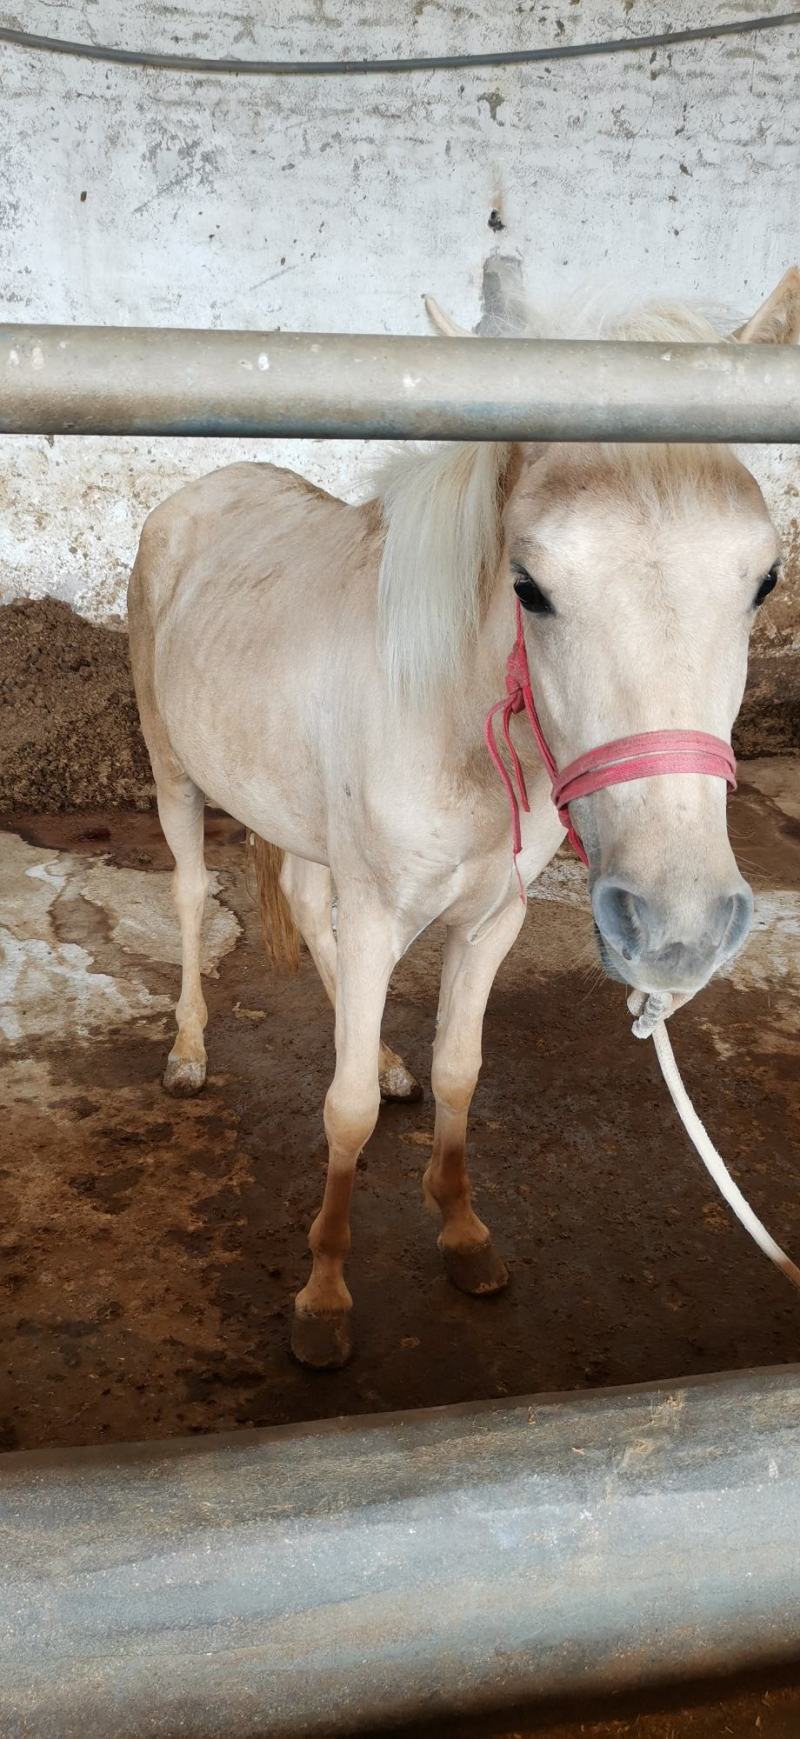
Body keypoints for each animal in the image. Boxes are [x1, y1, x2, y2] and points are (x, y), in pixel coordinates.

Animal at [128, 268, 800, 1368]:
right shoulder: (376, 914)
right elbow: (344, 1111)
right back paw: (187, 1053)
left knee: (305, 905)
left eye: (762, 580)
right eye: (530, 586)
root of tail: (199, 493)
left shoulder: (492, 918)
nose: (677, 928)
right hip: (174, 771)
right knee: (189, 894)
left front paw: (461, 1229)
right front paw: (323, 1295)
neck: (452, 720)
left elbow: (458, 1072)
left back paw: (379, 1053)